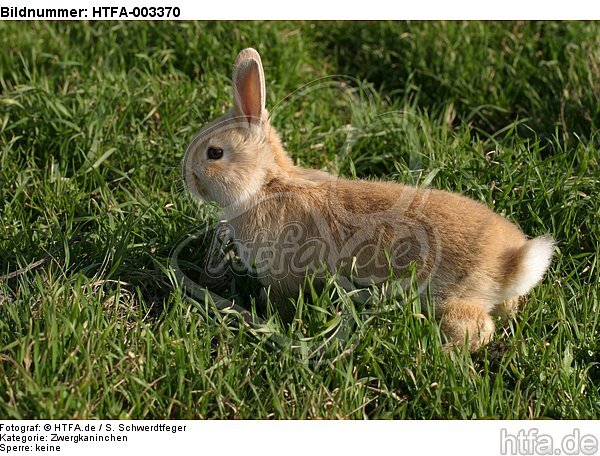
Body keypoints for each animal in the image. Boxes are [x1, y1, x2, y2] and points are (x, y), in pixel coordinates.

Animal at [183, 48, 552, 350]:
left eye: (214, 153)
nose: (186, 177)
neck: (267, 185)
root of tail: (511, 262)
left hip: (453, 299)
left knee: (477, 330)